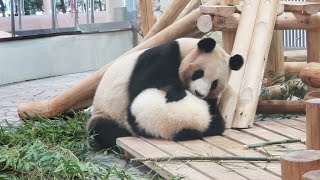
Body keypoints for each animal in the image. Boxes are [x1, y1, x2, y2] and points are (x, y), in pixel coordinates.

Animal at [86, 37, 244, 148]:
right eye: (199, 73)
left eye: (214, 84)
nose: (199, 93)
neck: (185, 50)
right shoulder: (161, 57)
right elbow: (144, 83)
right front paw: (176, 92)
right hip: (106, 111)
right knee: (103, 129)